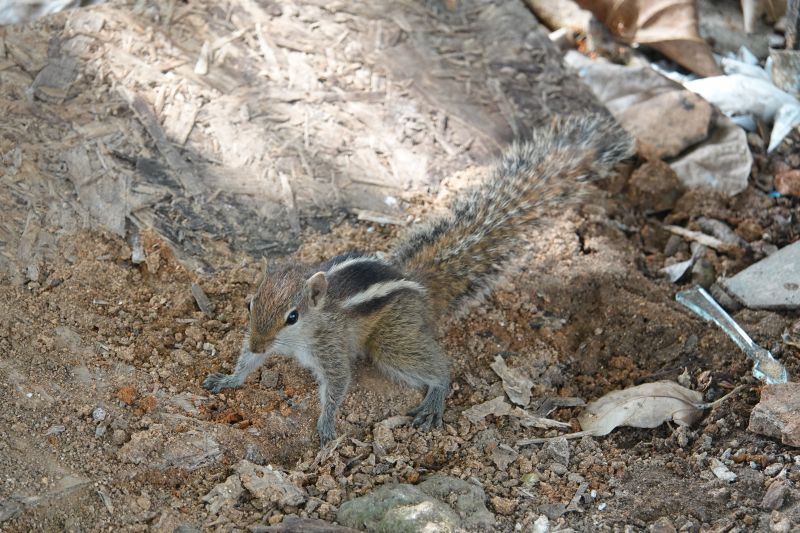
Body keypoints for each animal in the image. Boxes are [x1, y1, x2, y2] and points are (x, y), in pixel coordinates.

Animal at [203, 114, 634, 445]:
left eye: (292, 317)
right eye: (250, 304)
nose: (258, 339)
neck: (304, 333)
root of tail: (418, 284)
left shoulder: (330, 349)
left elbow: (338, 386)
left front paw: (326, 425)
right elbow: (249, 362)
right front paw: (228, 378)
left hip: (391, 340)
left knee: (440, 368)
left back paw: (435, 398)